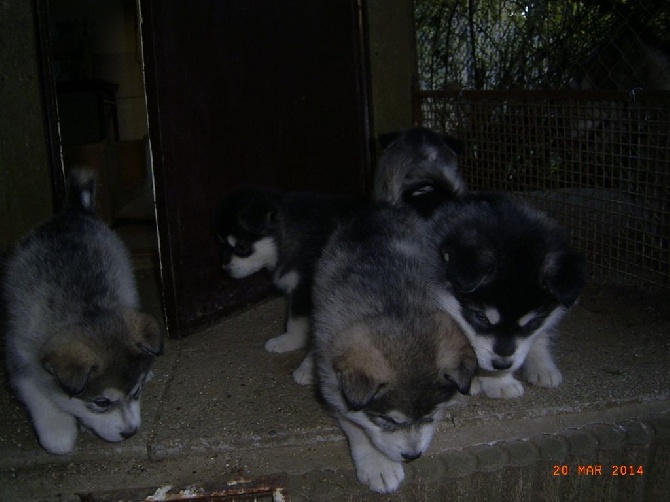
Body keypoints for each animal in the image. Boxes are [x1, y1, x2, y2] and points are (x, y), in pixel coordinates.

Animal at [2, 170, 164, 454]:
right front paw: (57, 430)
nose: (130, 433)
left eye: (136, 393)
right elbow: (38, 396)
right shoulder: (20, 356)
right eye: (101, 402)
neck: (86, 312)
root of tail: (74, 211)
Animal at [312, 203, 476, 490]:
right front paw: (379, 464)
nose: (412, 456)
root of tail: (379, 207)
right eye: (387, 420)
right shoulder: (332, 384)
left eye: (430, 415)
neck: (394, 308)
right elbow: (356, 424)